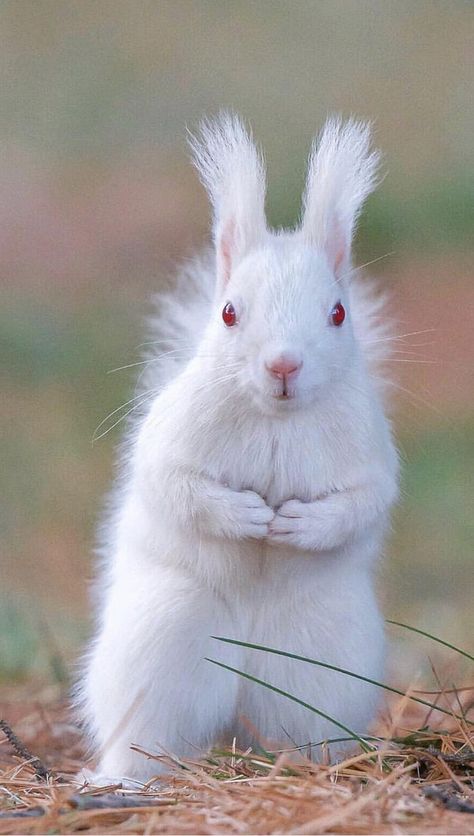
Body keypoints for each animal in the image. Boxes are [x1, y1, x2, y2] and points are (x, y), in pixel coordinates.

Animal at [78, 111, 400, 784]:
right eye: (228, 312)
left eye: (338, 313)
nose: (283, 365)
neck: (276, 419)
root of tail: (234, 717)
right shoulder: (170, 443)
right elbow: (177, 488)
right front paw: (249, 515)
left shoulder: (370, 455)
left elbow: (362, 503)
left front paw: (299, 524)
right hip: (157, 647)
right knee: (144, 734)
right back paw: (122, 779)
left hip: (324, 668)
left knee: (306, 736)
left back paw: (313, 773)